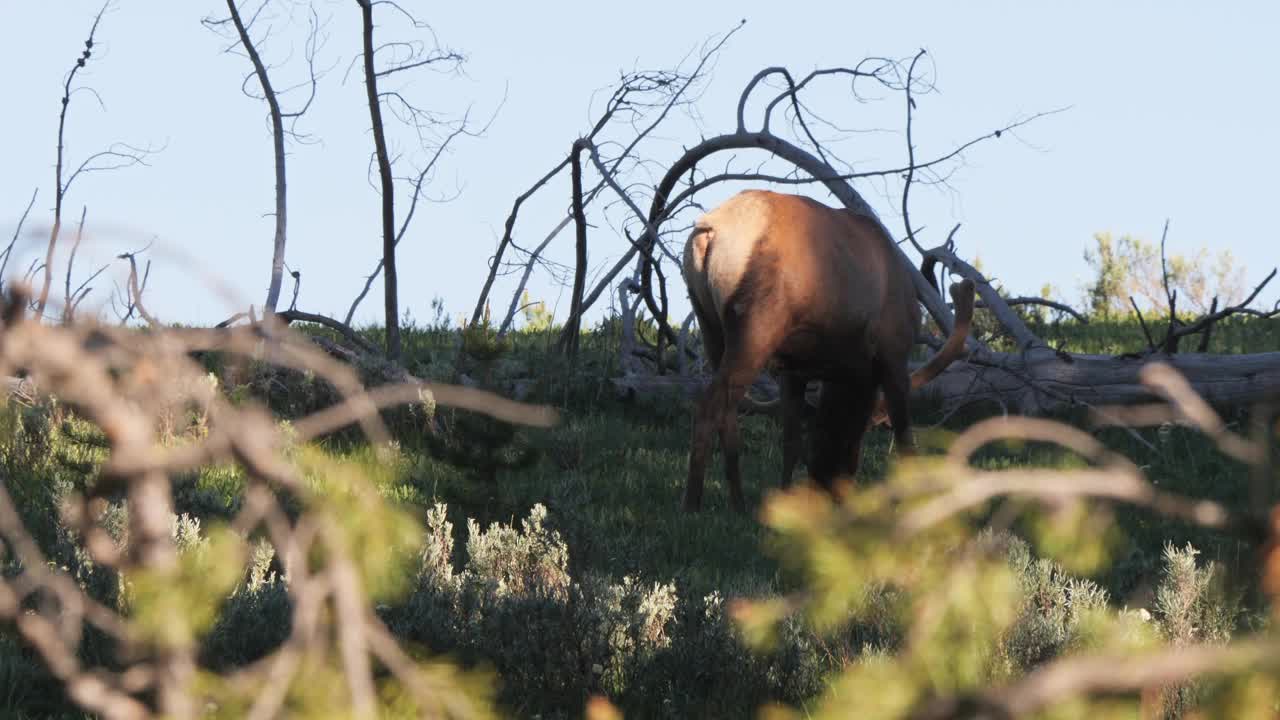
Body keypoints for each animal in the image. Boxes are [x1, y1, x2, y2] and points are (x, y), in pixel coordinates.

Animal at [686, 185, 972, 509]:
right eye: (860, 429)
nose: (829, 485)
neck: (850, 366)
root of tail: (710, 229)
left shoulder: (794, 368)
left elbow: (791, 440)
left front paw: (786, 500)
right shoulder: (894, 350)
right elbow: (904, 437)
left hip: (709, 324)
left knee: (728, 411)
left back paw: (739, 504)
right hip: (756, 324)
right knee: (709, 405)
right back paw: (692, 505)